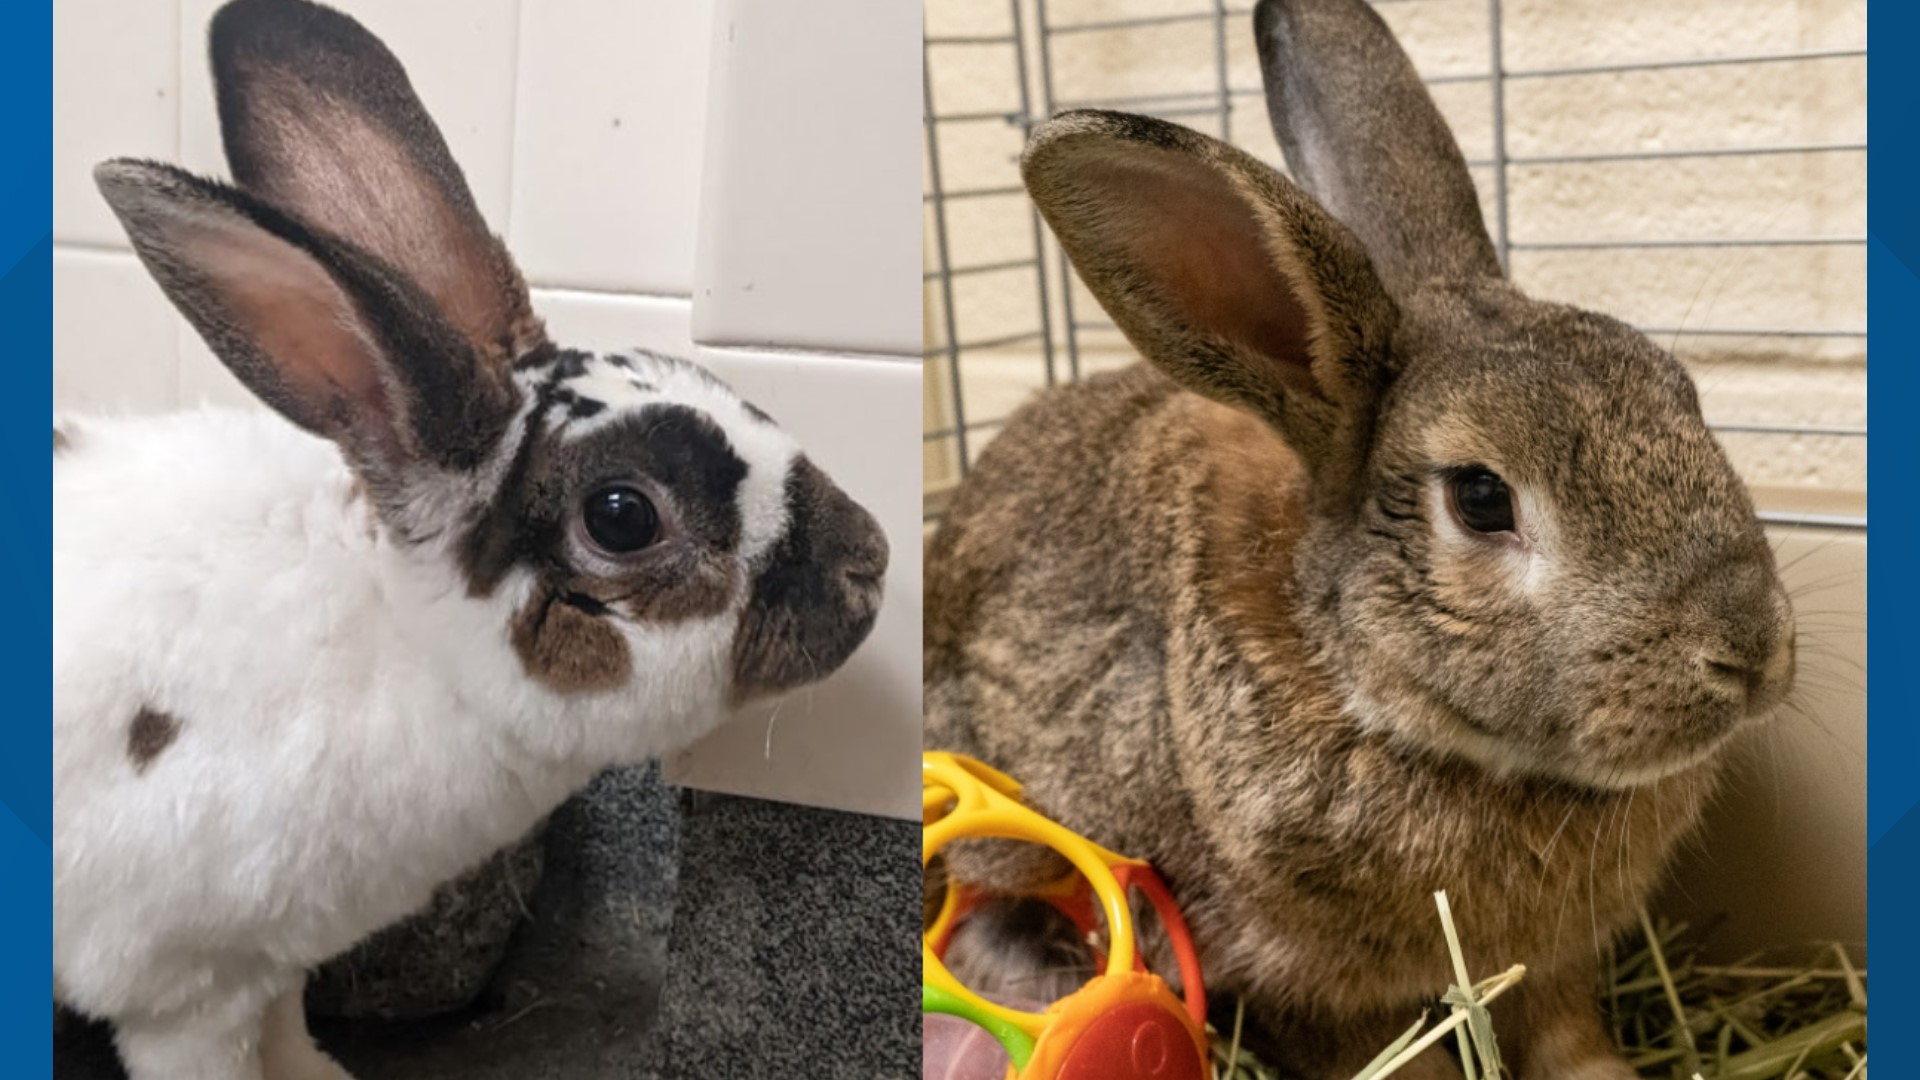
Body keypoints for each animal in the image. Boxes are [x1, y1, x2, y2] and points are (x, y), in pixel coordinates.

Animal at [52, 1, 887, 1078]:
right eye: (622, 515)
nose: (871, 562)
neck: (400, 641)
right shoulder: (184, 995)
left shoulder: (272, 966)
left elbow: (290, 1036)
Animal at [922, 0, 1795, 1076]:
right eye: (1479, 497)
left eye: (1685, 395)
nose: (1752, 648)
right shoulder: (1296, 982)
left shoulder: (1552, 969)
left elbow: (1571, 1039)